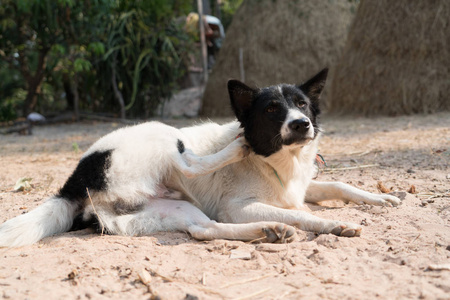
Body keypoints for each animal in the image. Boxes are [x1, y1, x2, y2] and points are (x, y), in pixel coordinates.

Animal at [0, 69, 400, 247]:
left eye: (302, 104)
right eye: (272, 110)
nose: (302, 124)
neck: (272, 160)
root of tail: (77, 179)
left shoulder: (298, 188)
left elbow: (338, 184)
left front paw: (382, 199)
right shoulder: (238, 206)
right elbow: (302, 213)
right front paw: (331, 223)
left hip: (170, 207)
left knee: (203, 229)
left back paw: (269, 231)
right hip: (161, 132)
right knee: (188, 163)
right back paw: (235, 154)